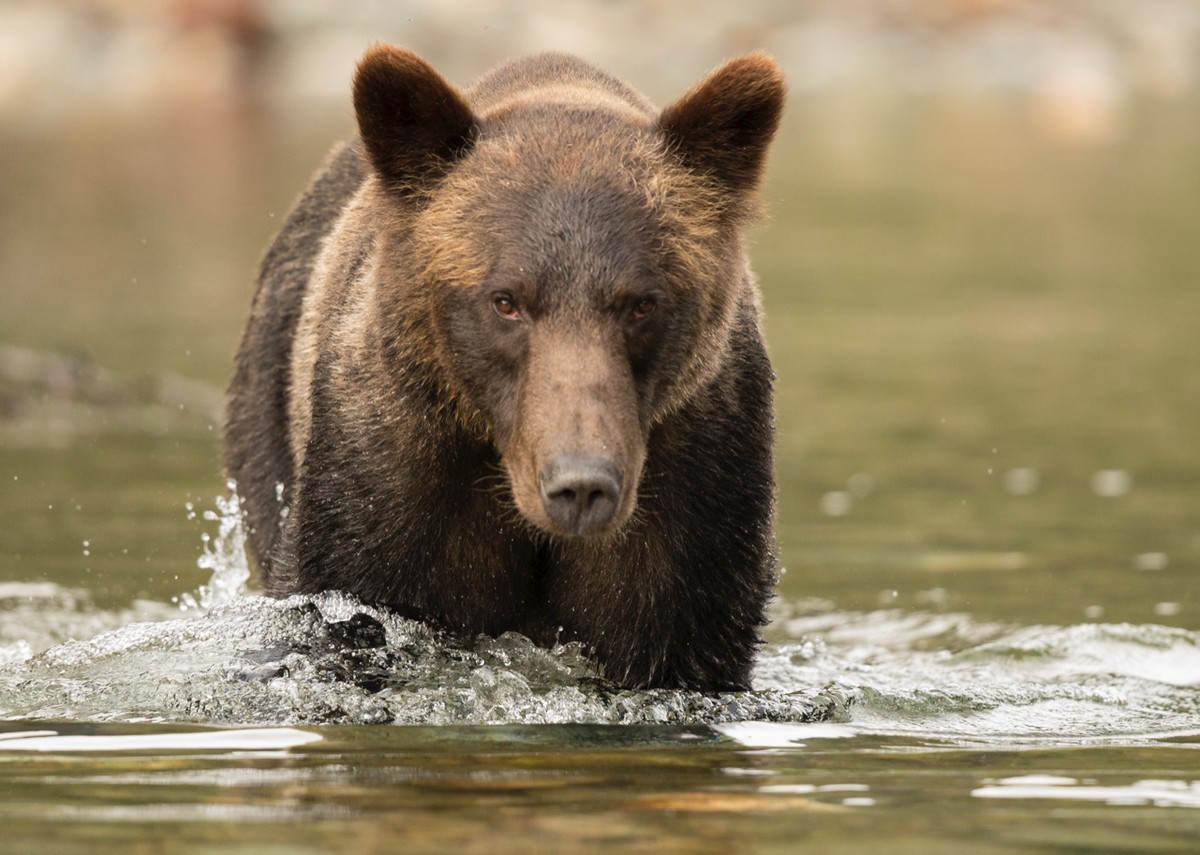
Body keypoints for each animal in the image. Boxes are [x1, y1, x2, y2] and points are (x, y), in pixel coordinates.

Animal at [225, 43, 787, 691]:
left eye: (642, 302)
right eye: (506, 300)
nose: (581, 484)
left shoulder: (698, 487)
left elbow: (678, 633)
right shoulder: (386, 476)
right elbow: (348, 599)